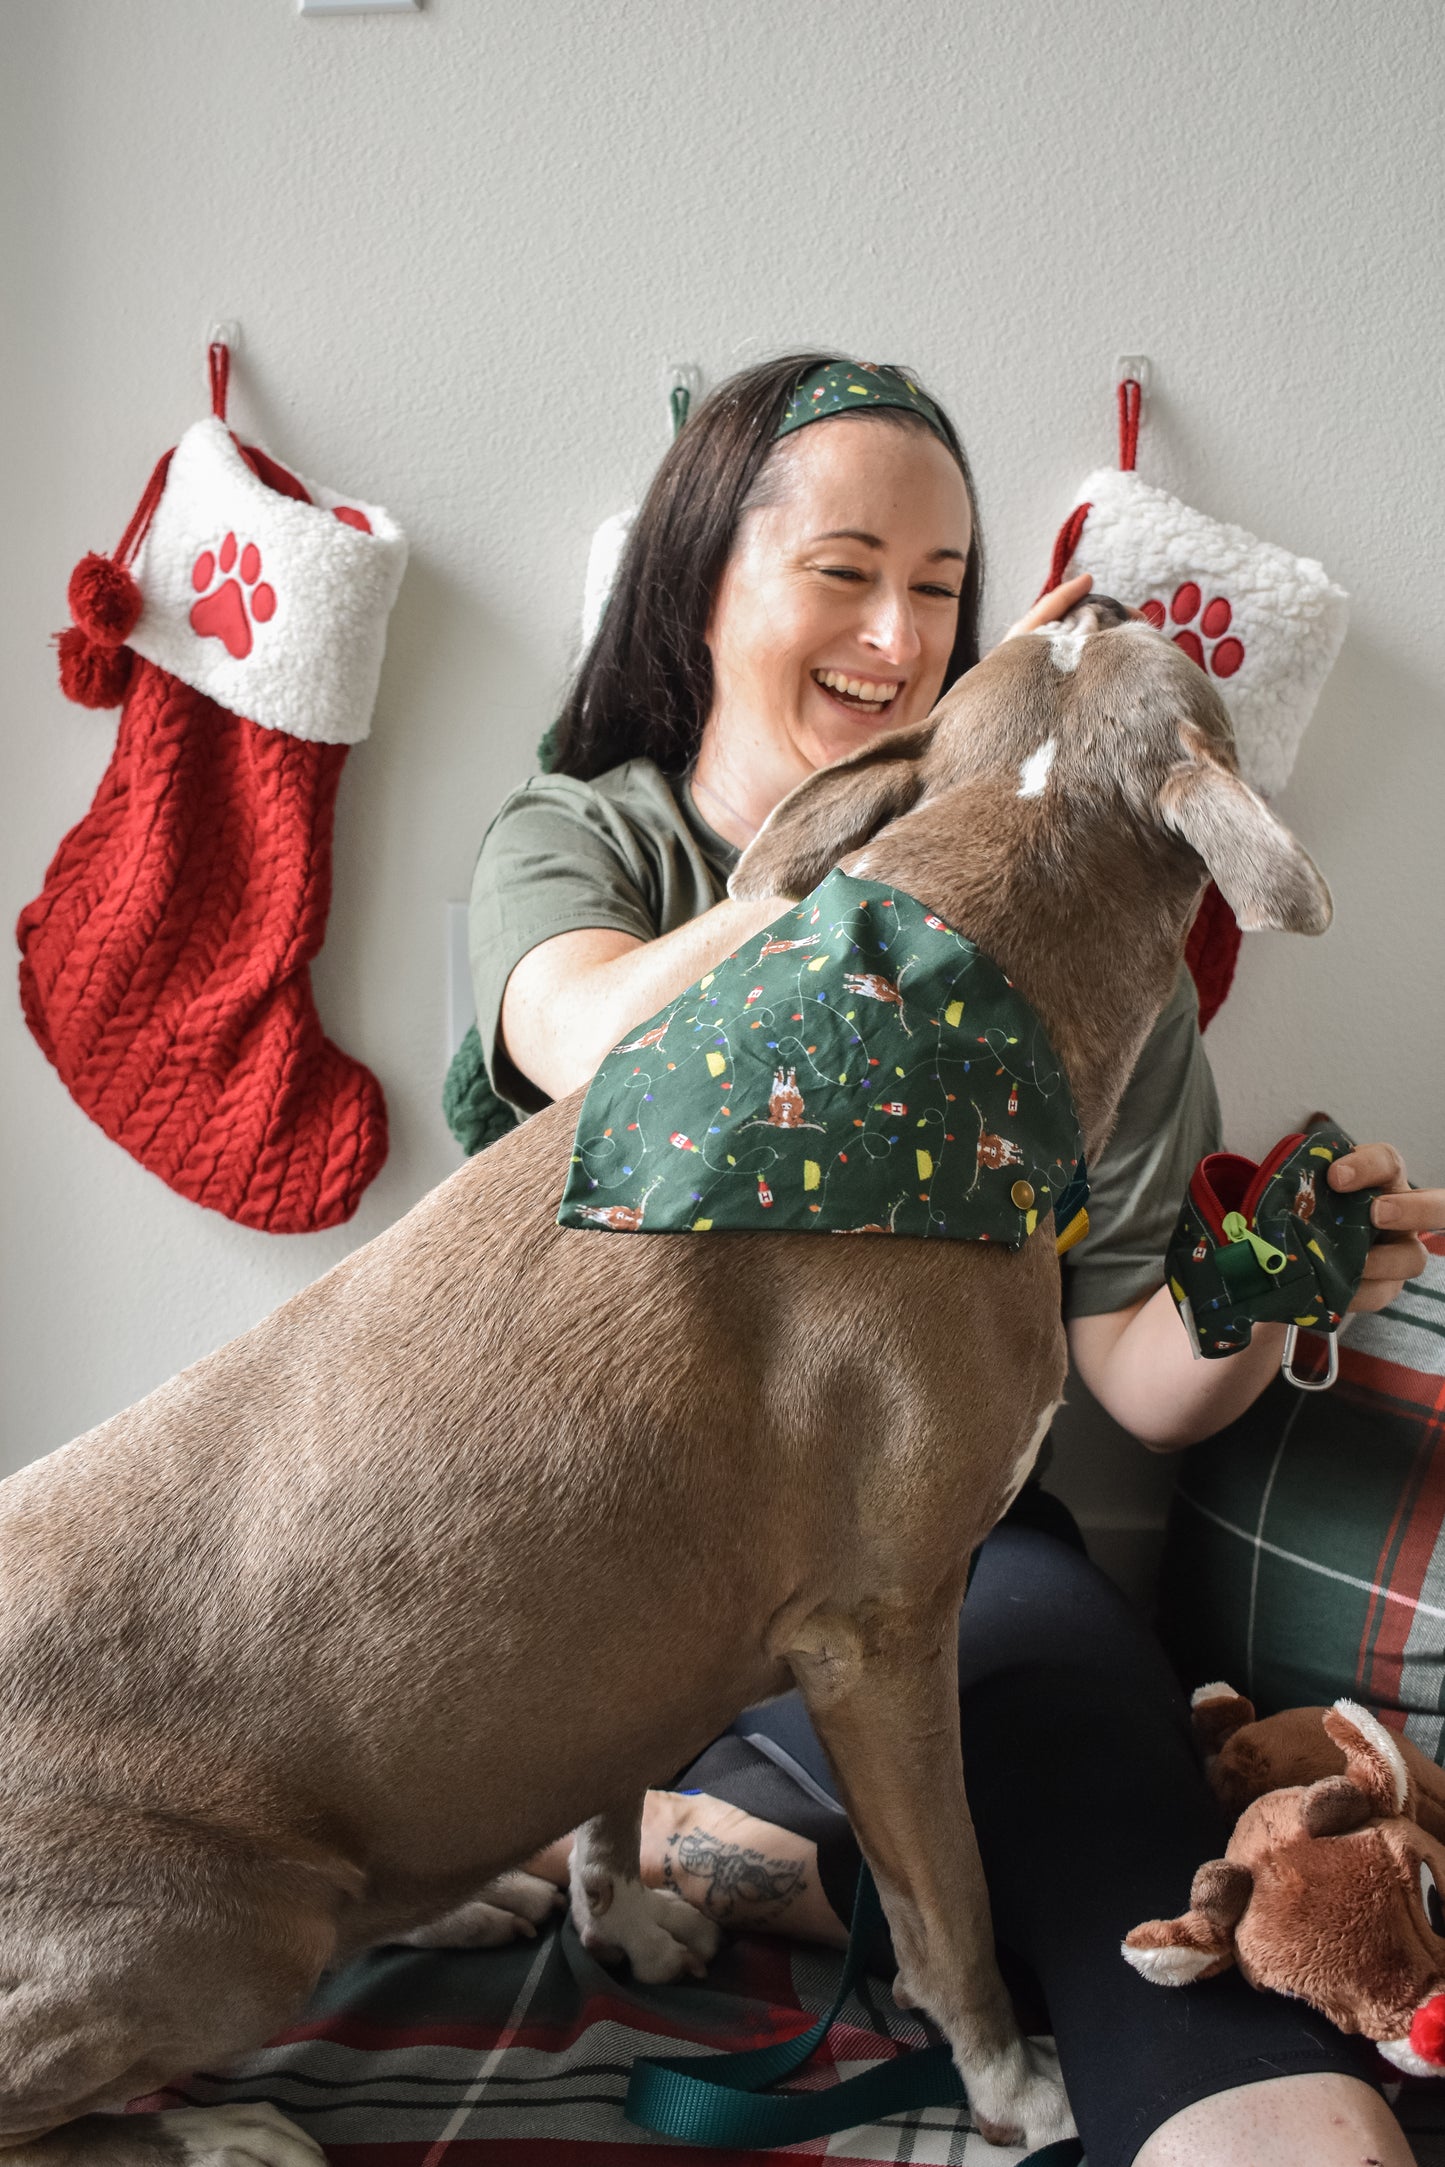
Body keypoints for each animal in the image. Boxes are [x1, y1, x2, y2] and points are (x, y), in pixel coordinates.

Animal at [0, 602, 1334, 2158]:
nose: (1105, 599)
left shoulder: (628, 1625)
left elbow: (614, 1793)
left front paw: (620, 1916)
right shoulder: (882, 1635)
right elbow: (948, 1904)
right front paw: (1008, 2083)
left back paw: (468, 1898)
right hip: (228, 1923)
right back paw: (218, 2129)